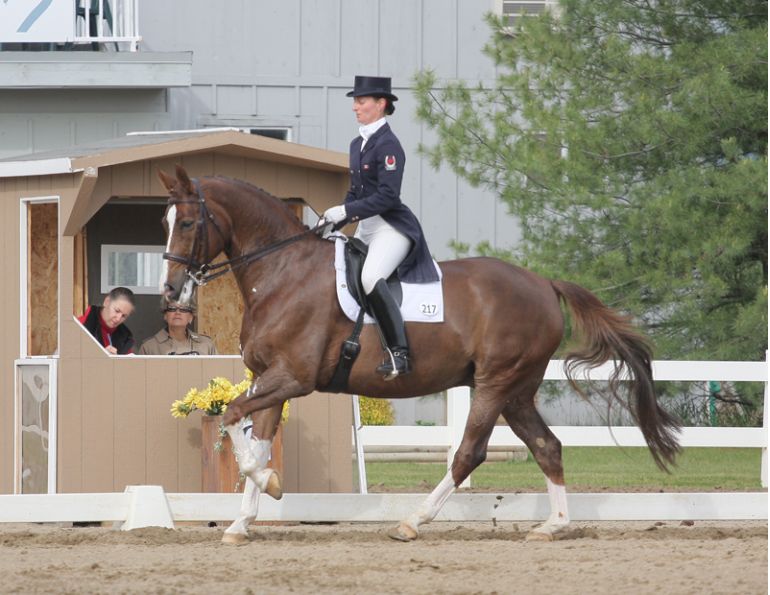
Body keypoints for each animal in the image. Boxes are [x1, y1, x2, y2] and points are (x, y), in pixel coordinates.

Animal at [158, 165, 680, 544]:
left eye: (187, 222)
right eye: (164, 222)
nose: (170, 290)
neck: (282, 271)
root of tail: (542, 283)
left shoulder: (293, 378)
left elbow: (233, 420)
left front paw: (270, 484)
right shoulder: (270, 378)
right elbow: (256, 440)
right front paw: (240, 523)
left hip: (495, 384)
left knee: (469, 453)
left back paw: (413, 521)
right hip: (517, 391)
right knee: (547, 446)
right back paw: (552, 526)